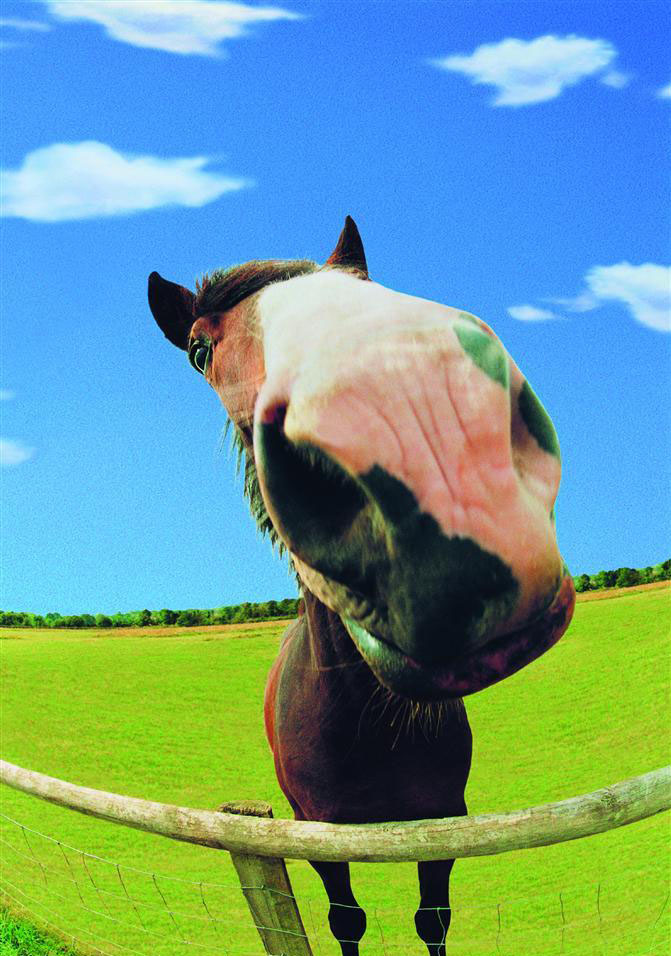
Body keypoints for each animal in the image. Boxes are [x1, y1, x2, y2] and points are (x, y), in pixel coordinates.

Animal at [148, 217, 575, 955]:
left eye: (364, 284)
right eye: (199, 351)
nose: (421, 423)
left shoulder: (442, 824)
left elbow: (432, 919)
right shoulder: (316, 836)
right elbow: (345, 919)